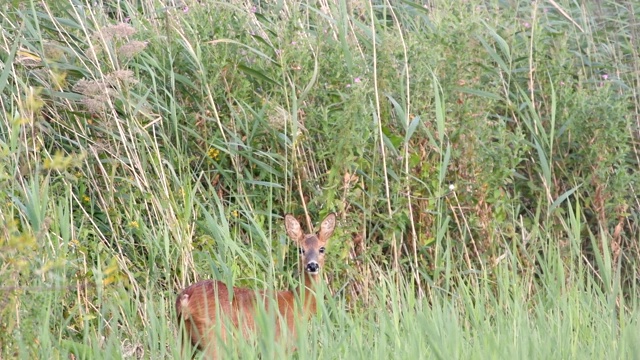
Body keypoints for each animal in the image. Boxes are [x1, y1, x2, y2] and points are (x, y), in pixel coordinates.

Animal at [175, 212, 336, 358]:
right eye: (300, 249)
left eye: (322, 249)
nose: (312, 265)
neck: (299, 303)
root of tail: (185, 300)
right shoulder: (279, 344)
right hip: (214, 338)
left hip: (185, 339)